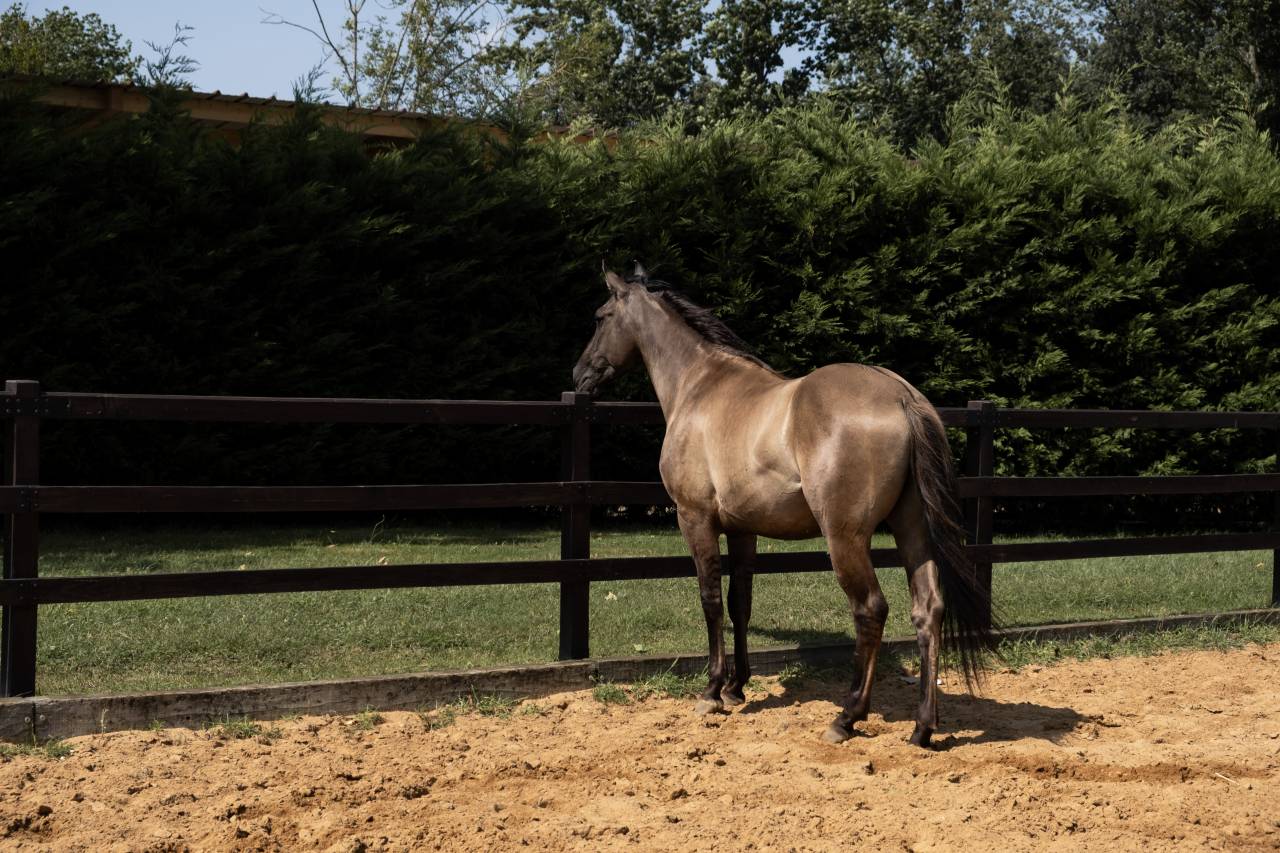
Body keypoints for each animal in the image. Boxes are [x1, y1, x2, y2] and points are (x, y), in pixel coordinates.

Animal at [572, 263, 994, 747]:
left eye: (600, 317)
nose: (578, 374)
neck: (699, 385)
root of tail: (902, 396)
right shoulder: (742, 528)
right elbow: (740, 602)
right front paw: (736, 687)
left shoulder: (695, 518)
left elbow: (711, 600)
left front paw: (712, 691)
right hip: (912, 530)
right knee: (928, 609)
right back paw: (923, 727)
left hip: (845, 539)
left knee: (870, 610)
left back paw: (847, 716)